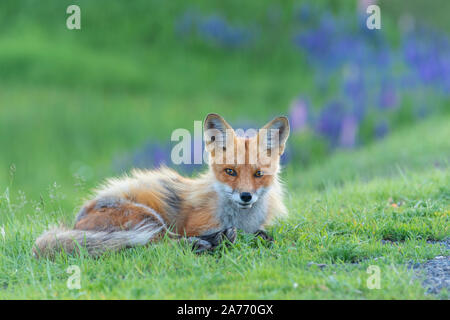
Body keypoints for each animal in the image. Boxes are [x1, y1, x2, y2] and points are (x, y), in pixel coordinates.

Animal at [33, 114, 290, 258]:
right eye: (230, 172)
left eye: (259, 174)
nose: (246, 196)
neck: (240, 220)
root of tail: (75, 223)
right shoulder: (195, 225)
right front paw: (222, 238)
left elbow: (263, 233)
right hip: (147, 218)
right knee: (151, 246)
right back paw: (209, 242)